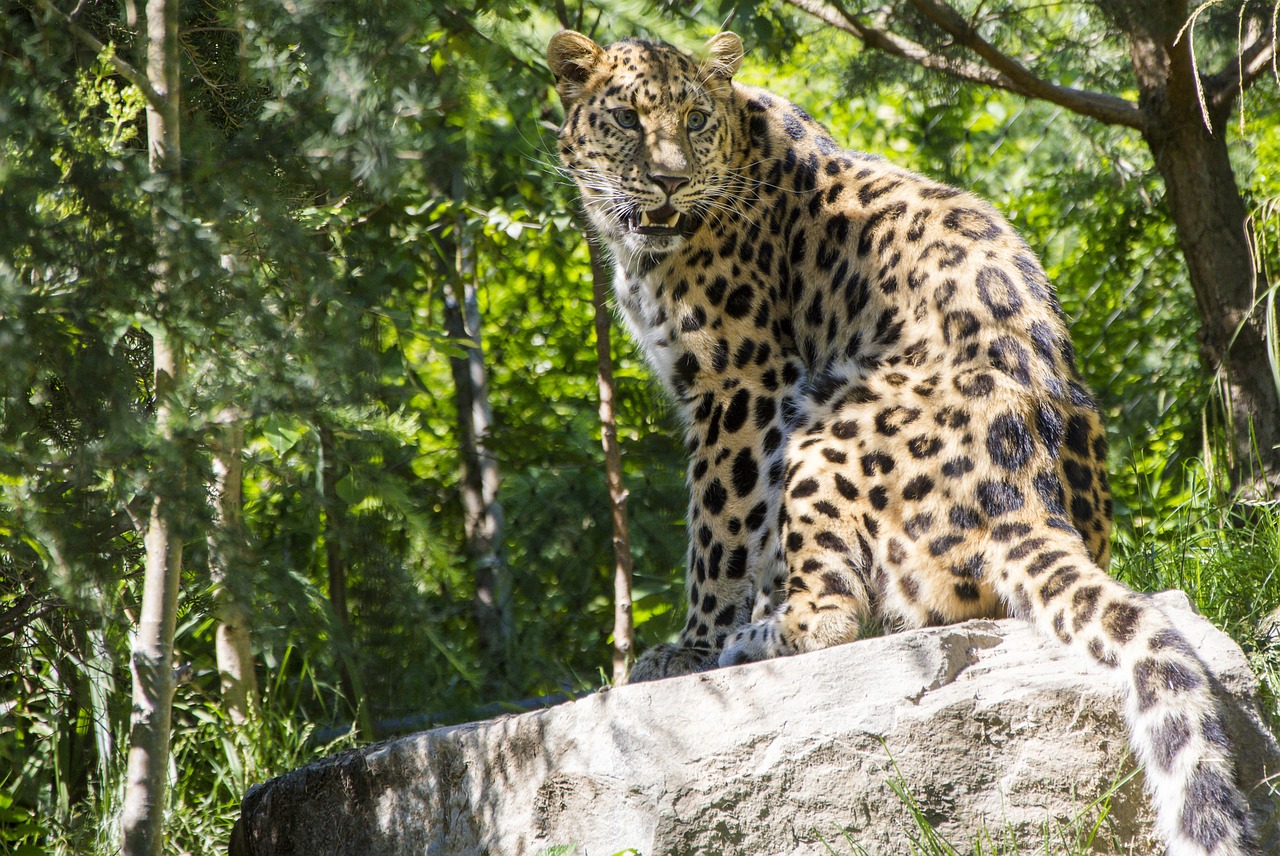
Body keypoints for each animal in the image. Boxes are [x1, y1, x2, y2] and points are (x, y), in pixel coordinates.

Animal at [547, 30, 1249, 849]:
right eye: (626, 118)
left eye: (694, 120)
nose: (667, 181)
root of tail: (1030, 500)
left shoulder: (740, 386)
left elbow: (719, 529)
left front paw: (691, 646)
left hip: (820, 423)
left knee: (838, 612)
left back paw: (752, 639)